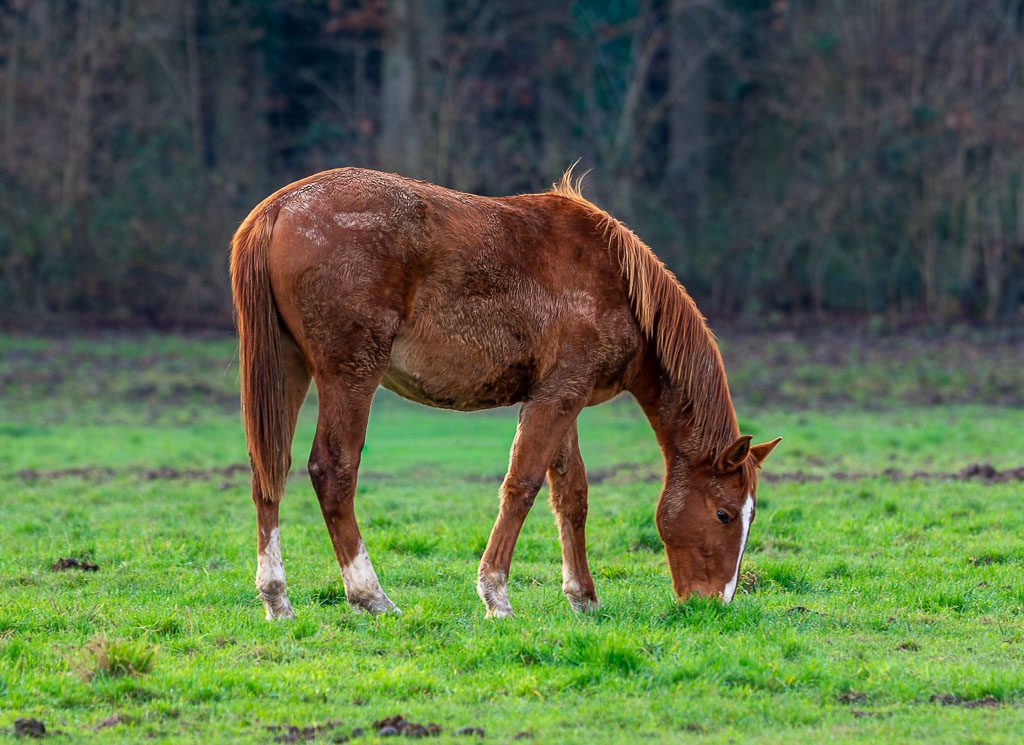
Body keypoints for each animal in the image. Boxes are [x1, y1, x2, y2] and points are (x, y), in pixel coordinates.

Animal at [230, 166, 780, 619]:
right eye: (724, 514)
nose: (713, 604)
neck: (617, 282)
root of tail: (278, 209)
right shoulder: (558, 396)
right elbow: (523, 486)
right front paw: (495, 595)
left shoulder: (561, 398)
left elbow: (571, 495)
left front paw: (583, 598)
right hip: (349, 376)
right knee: (333, 472)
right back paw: (370, 595)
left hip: (289, 370)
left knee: (268, 471)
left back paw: (277, 599)